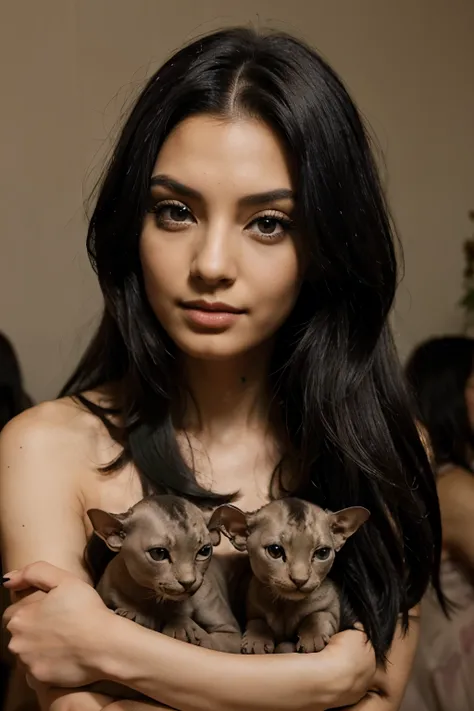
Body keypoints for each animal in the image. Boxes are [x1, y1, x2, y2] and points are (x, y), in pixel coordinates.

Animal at [211, 498, 370, 652]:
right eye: (275, 550)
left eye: (323, 553)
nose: (300, 580)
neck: (286, 605)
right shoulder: (253, 609)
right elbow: (257, 621)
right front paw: (256, 640)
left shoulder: (331, 608)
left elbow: (319, 615)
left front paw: (312, 636)